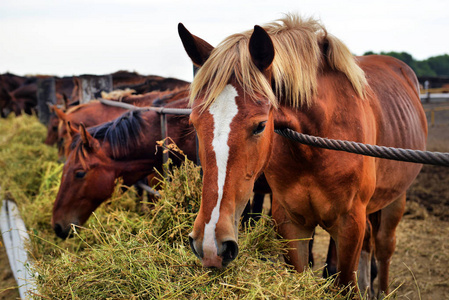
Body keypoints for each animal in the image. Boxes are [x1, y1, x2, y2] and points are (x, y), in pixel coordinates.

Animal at [178, 14, 424, 296]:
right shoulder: (290, 223)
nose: (209, 244)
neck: (317, 144)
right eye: (194, 122)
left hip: (396, 198)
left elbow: (345, 284)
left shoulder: (350, 224)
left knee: (383, 247)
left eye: (261, 125)